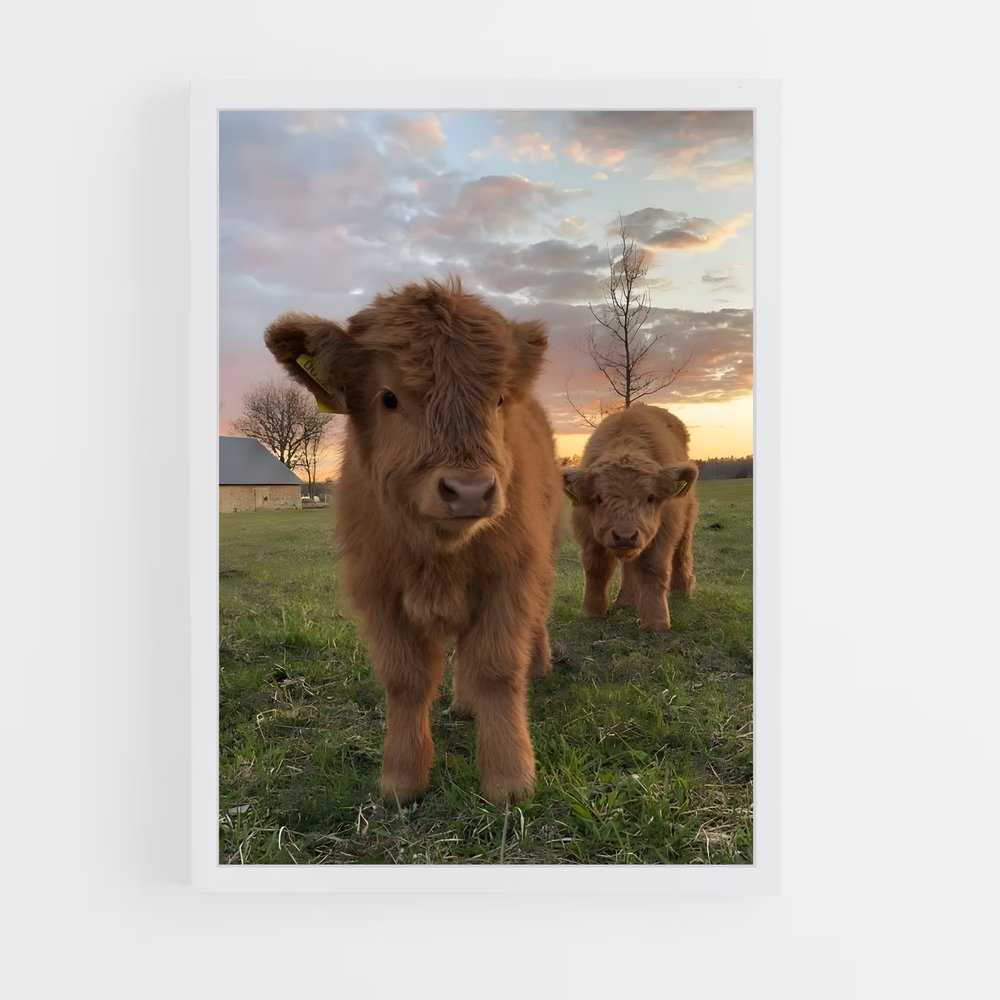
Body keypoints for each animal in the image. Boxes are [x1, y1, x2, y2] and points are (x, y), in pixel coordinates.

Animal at [264, 278, 562, 805]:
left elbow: (498, 669)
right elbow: (406, 680)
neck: (438, 554)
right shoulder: (379, 592)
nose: (470, 489)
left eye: (498, 399)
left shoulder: (509, 577)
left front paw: (509, 780)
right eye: (388, 398)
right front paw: (401, 780)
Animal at [562, 405, 699, 632]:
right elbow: (596, 568)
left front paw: (656, 622)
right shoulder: (587, 532)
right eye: (599, 498)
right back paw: (626, 600)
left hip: (686, 518)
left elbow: (652, 568)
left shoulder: (662, 532)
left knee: (681, 550)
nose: (625, 536)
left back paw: (682, 590)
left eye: (650, 497)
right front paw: (592, 612)